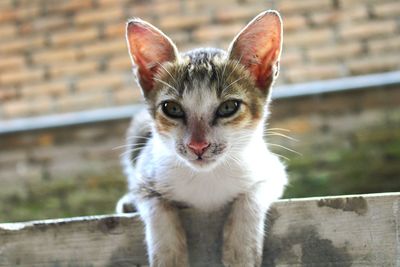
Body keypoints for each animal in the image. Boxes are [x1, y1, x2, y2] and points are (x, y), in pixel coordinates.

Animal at [115, 9, 288, 266]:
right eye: (172, 108)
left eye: (228, 107)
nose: (198, 145)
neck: (207, 178)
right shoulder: (145, 171)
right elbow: (155, 203)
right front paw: (169, 254)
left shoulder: (272, 168)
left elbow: (253, 194)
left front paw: (240, 249)